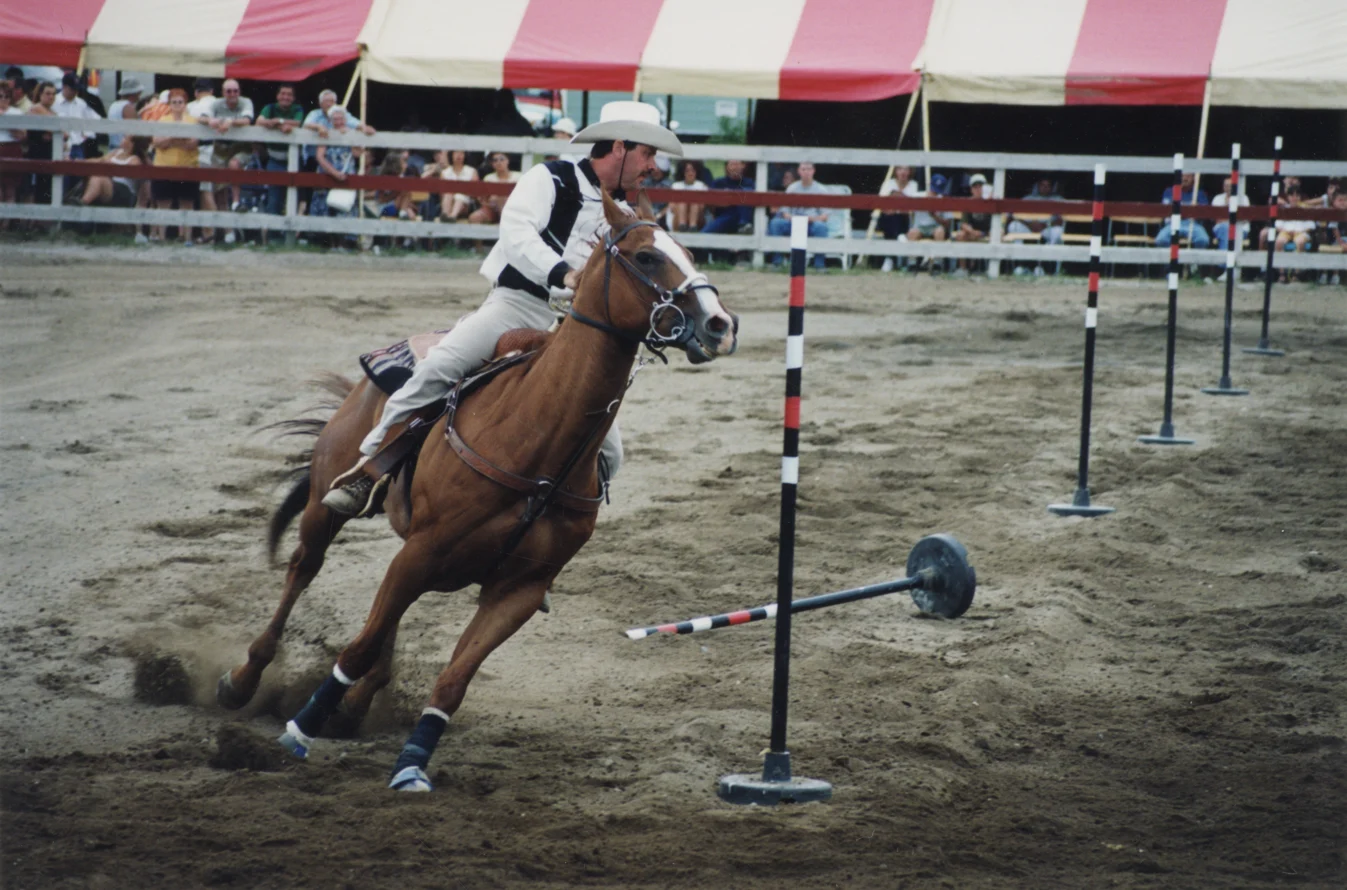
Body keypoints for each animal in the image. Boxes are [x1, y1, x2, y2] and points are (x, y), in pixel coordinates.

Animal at [217, 191, 738, 791]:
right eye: (647, 256)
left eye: (690, 252)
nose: (720, 325)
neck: (537, 438)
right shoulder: (423, 553)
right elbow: (360, 644)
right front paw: (301, 729)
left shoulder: (517, 590)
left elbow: (452, 681)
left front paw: (411, 763)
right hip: (328, 508)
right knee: (304, 569)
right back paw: (243, 679)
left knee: (384, 617)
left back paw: (359, 704)